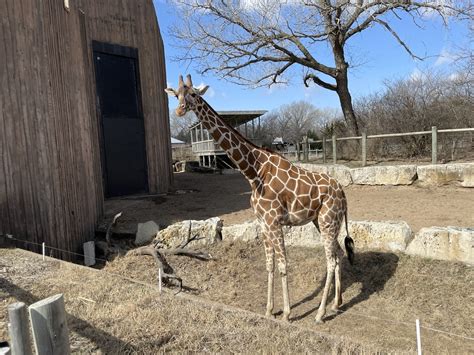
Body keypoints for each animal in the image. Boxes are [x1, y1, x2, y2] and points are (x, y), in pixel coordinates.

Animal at [165, 76, 354, 326]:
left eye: (194, 94)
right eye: (176, 95)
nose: (179, 110)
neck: (253, 172)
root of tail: (342, 192)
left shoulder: (274, 222)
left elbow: (283, 265)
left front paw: (287, 313)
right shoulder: (263, 224)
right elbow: (269, 265)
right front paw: (268, 310)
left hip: (327, 221)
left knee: (331, 260)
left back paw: (320, 313)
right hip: (324, 221)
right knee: (338, 255)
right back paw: (336, 303)